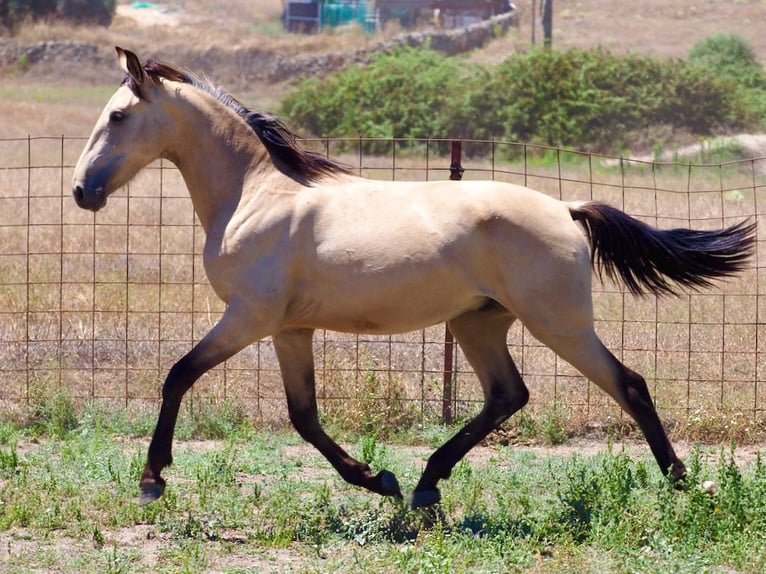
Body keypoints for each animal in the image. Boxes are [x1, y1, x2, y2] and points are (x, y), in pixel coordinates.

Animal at [73, 48, 760, 508]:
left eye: (117, 116)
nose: (83, 191)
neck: (253, 196)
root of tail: (568, 209)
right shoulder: (290, 329)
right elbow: (304, 416)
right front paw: (378, 479)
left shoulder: (247, 317)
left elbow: (178, 375)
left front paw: (152, 479)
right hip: (479, 324)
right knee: (507, 395)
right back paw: (426, 484)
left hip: (558, 324)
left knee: (629, 385)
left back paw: (681, 480)